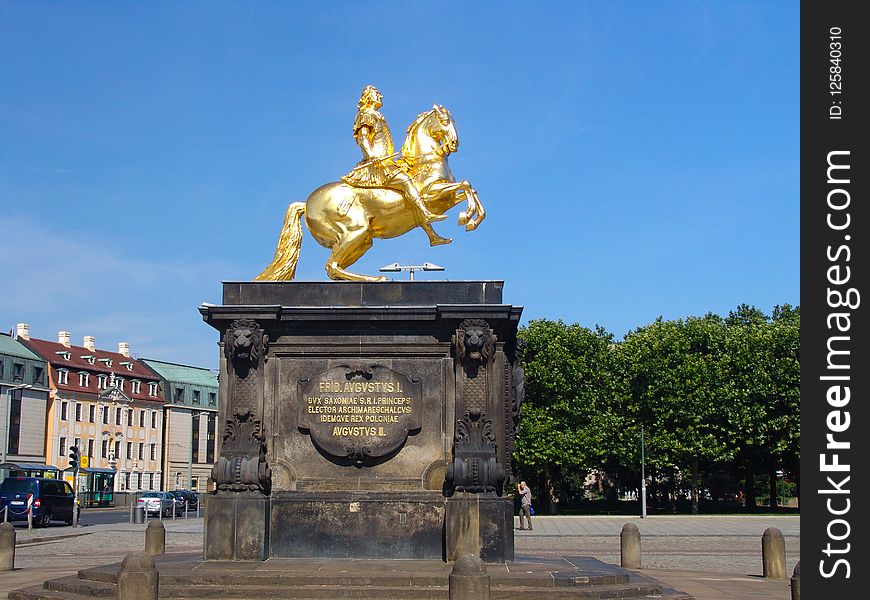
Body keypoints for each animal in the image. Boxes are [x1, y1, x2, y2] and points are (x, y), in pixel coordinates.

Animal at [254, 105, 484, 282]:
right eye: (444, 120)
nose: (454, 144)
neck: (424, 161)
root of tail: (307, 203)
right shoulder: (431, 195)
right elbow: (464, 186)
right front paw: (466, 217)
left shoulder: (446, 198)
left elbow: (470, 189)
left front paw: (469, 220)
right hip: (356, 231)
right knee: (332, 266)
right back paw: (376, 278)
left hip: (363, 241)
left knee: (335, 268)